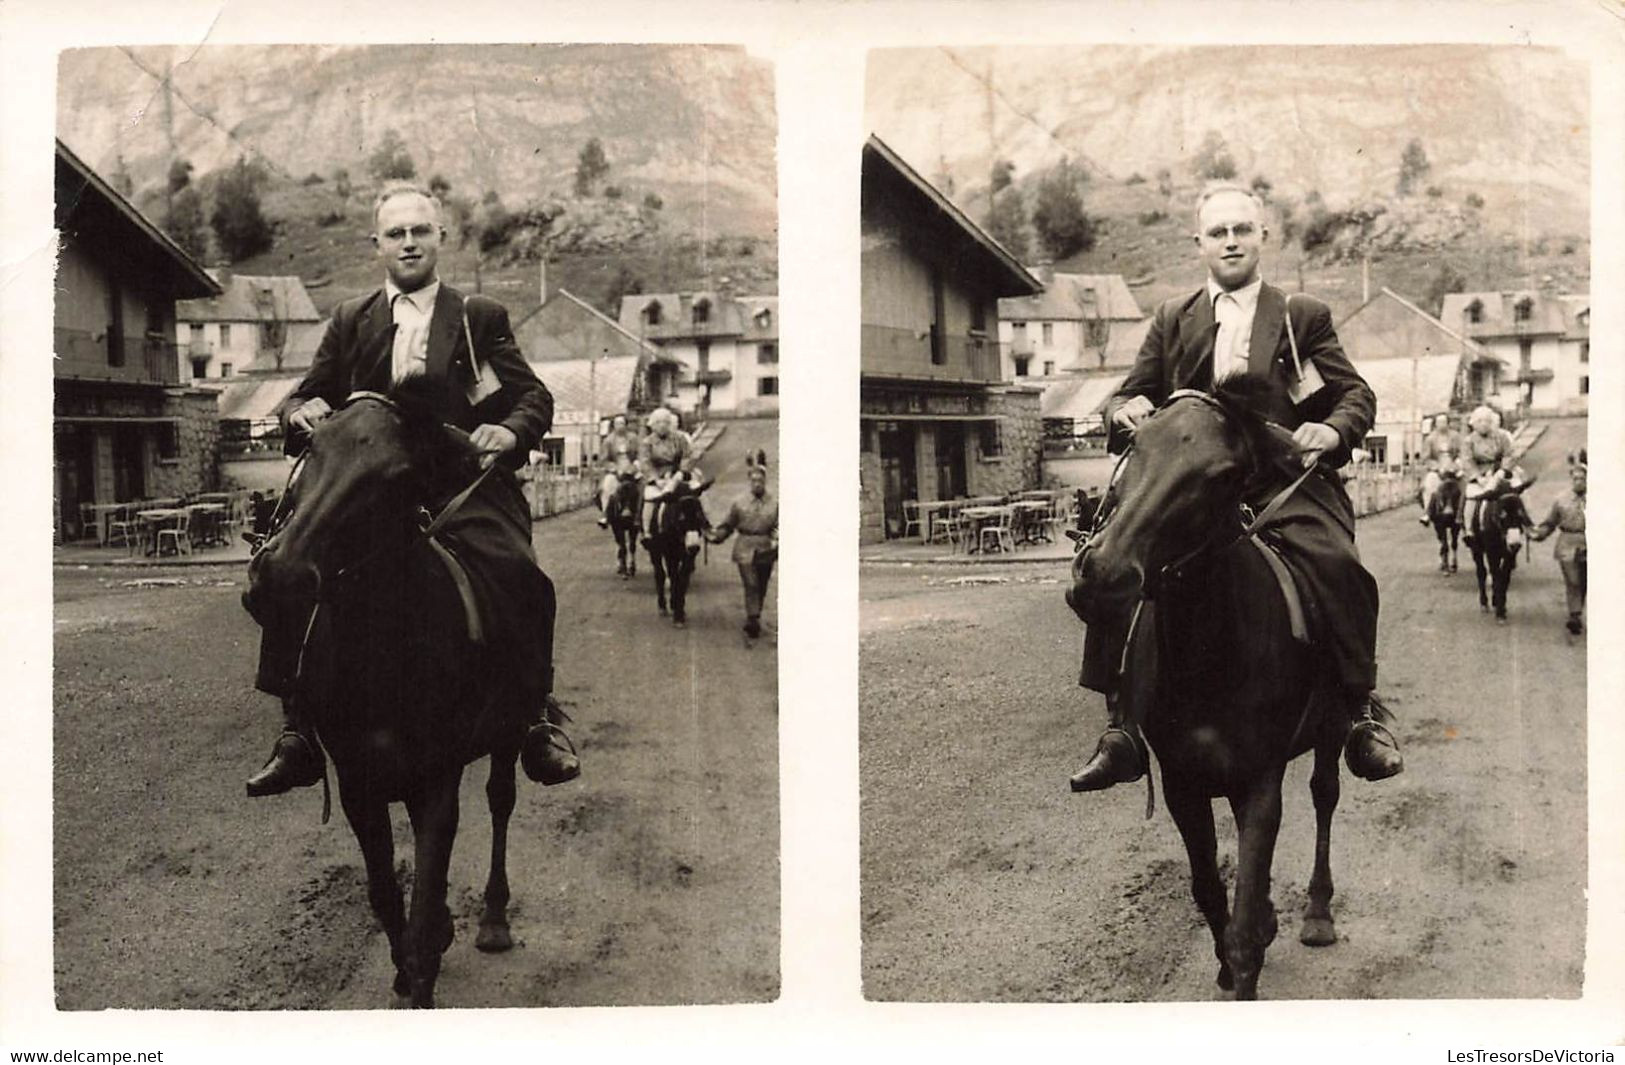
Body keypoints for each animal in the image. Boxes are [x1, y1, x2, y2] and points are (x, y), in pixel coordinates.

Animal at [242, 390, 533, 1008]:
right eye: (310, 447)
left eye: (398, 476)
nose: (279, 577)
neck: (386, 654)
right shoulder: (360, 784)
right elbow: (385, 892)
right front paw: (406, 968)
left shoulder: (438, 779)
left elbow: (423, 895)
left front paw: (422, 972)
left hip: (508, 733)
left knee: (501, 802)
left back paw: (494, 919)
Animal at [646, 478, 711, 627]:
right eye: (681, 518)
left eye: (699, 515)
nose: (694, 547)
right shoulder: (670, 555)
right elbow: (674, 578)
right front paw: (676, 613)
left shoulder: (688, 557)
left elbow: (683, 580)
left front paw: (680, 611)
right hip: (655, 551)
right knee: (660, 574)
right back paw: (663, 606)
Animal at [1072, 383, 1352, 1001]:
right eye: (1135, 443)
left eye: (1222, 474)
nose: (1103, 573)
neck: (1209, 654)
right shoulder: (1184, 782)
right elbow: (1209, 889)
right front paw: (1228, 960)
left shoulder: (1261, 778)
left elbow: (1243, 915)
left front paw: (1246, 957)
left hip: (1329, 731)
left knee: (1324, 796)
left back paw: (1318, 912)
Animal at [1469, 478, 1527, 621]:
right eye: (1502, 516)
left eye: (1521, 515)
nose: (1515, 544)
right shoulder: (1491, 552)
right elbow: (1495, 575)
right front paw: (1500, 612)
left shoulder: (1509, 554)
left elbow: (1504, 577)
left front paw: (1501, 606)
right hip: (1476, 549)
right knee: (1481, 572)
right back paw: (1484, 603)